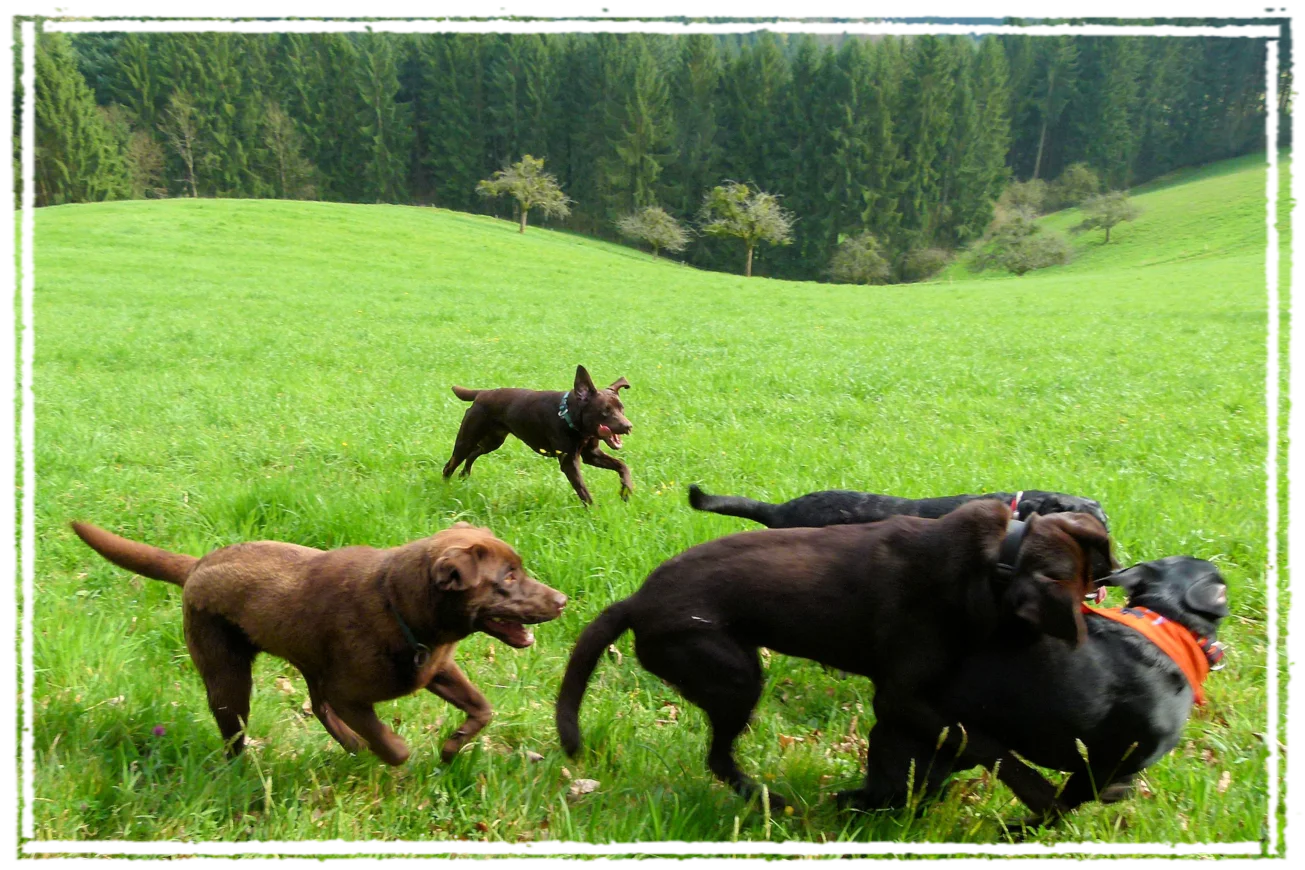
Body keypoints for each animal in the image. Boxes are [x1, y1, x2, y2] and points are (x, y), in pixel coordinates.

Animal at [68, 521, 563, 766]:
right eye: (508, 578)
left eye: (519, 569)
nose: (561, 600)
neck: (402, 607)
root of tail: (196, 565)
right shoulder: (352, 696)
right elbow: (393, 746)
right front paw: (393, 754)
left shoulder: (438, 668)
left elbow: (483, 708)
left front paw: (451, 746)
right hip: (229, 680)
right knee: (237, 734)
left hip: (305, 657)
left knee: (316, 702)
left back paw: (347, 743)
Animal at [443, 365, 636, 506]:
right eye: (605, 411)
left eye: (622, 409)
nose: (628, 426)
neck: (569, 416)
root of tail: (481, 393)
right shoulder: (569, 462)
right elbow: (583, 491)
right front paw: (594, 512)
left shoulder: (592, 455)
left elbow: (622, 466)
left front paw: (626, 491)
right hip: (466, 439)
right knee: (450, 464)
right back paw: (446, 488)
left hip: (492, 441)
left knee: (473, 454)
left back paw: (464, 475)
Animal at [555, 500, 1117, 813]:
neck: (998, 560)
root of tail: (636, 601)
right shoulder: (899, 698)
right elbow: (979, 741)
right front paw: (1042, 795)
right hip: (733, 673)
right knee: (718, 755)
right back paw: (769, 800)